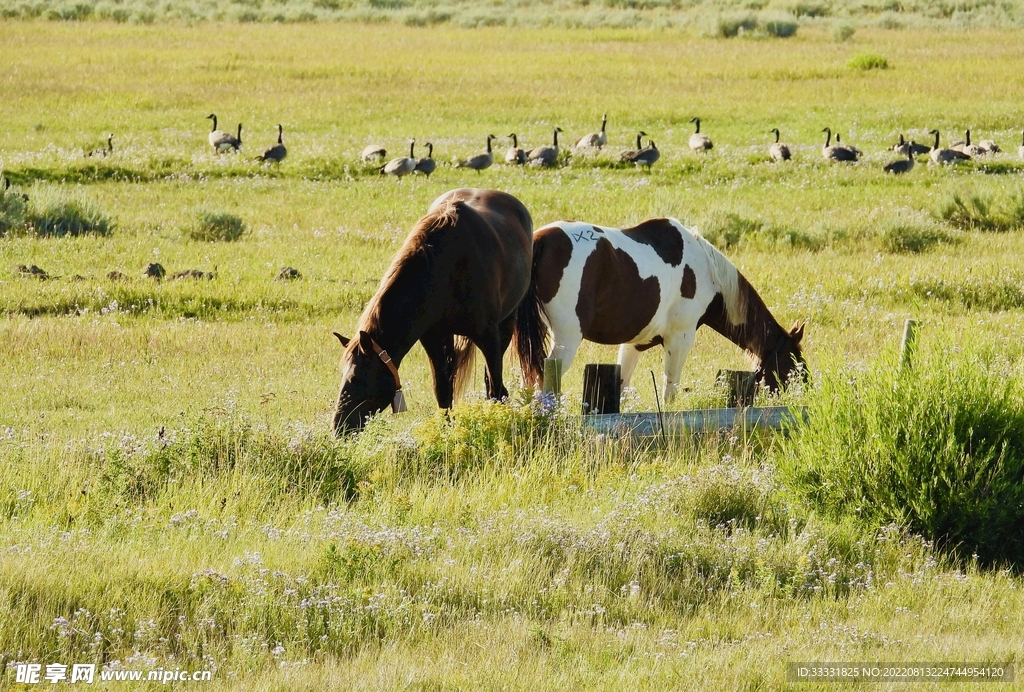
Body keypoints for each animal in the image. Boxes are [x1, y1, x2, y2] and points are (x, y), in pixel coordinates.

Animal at [333, 184, 544, 431]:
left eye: (356, 378)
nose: (338, 426)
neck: (446, 269)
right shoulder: (433, 337)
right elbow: (443, 389)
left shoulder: (488, 335)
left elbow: (495, 387)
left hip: (506, 325)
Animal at [524, 215, 802, 399]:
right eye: (795, 365)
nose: (803, 394)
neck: (708, 272)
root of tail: (541, 240)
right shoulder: (680, 339)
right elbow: (670, 390)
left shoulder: (635, 344)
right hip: (566, 341)